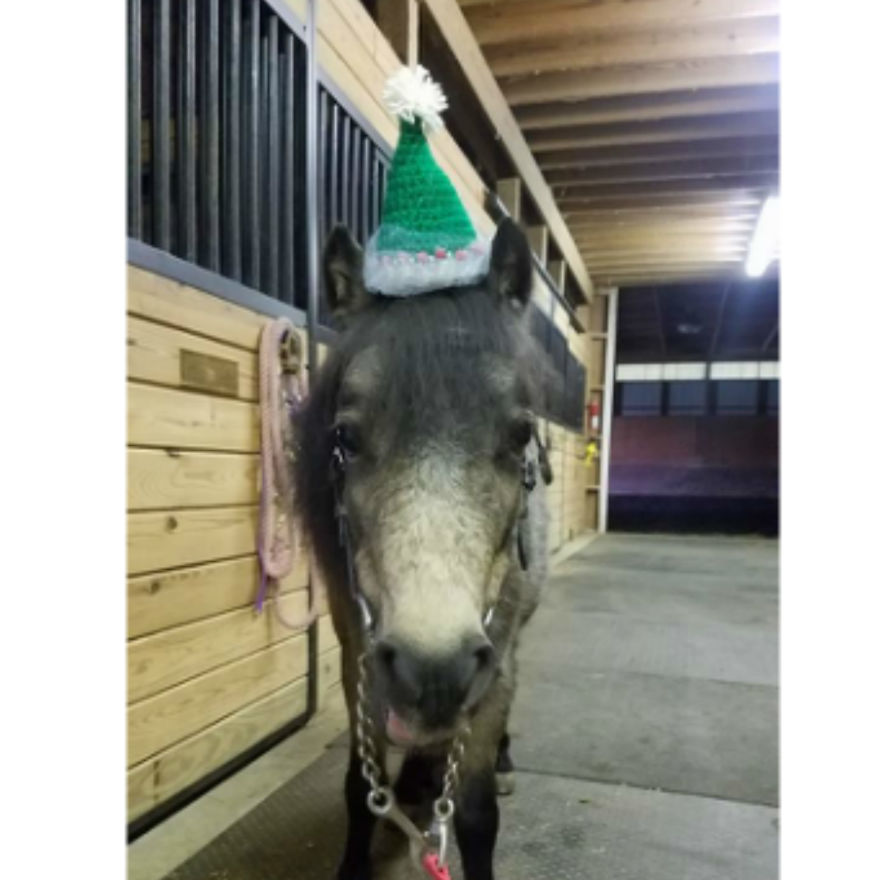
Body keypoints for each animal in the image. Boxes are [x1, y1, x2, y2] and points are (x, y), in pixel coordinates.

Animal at [293, 217, 551, 880]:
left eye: (520, 433)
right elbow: (362, 792)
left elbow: (477, 814)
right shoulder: (359, 656)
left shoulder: (494, 661)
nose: (434, 669)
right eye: (345, 437)